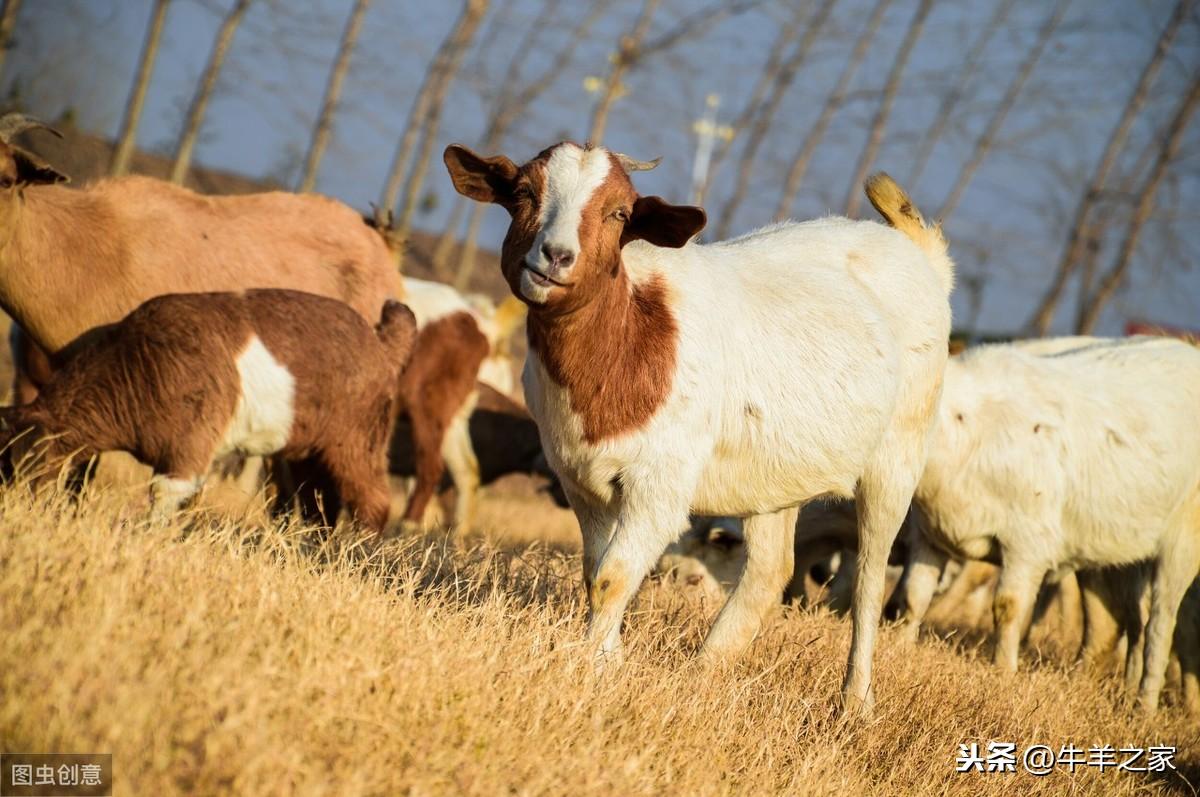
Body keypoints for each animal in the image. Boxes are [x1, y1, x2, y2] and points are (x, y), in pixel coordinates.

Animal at [0, 289, 420, 532]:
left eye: (26, 464)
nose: (12, 510)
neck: (137, 364)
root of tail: (380, 342)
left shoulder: (189, 445)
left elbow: (165, 493)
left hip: (358, 440)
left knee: (373, 502)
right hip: (309, 450)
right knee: (321, 503)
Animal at [444, 139, 955, 710]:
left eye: (620, 213)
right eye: (524, 193)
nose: (554, 257)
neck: (632, 336)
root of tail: (923, 257)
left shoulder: (660, 486)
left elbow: (612, 578)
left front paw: (587, 669)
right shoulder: (580, 482)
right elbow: (594, 572)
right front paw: (610, 660)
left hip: (899, 456)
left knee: (869, 577)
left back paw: (855, 701)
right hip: (775, 473)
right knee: (770, 568)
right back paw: (705, 670)